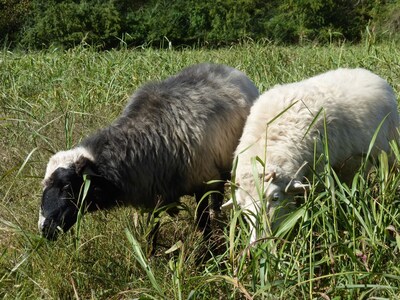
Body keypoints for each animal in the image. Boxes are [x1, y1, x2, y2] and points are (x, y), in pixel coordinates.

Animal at [39, 63, 260, 241]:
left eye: (67, 186)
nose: (44, 228)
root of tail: (226, 68)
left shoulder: (202, 184)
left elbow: (203, 225)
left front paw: (208, 252)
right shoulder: (153, 193)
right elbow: (152, 230)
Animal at [223, 68, 398, 244]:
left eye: (275, 198)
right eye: (242, 207)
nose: (259, 243)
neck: (270, 140)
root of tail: (366, 72)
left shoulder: (318, 172)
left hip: (391, 146)